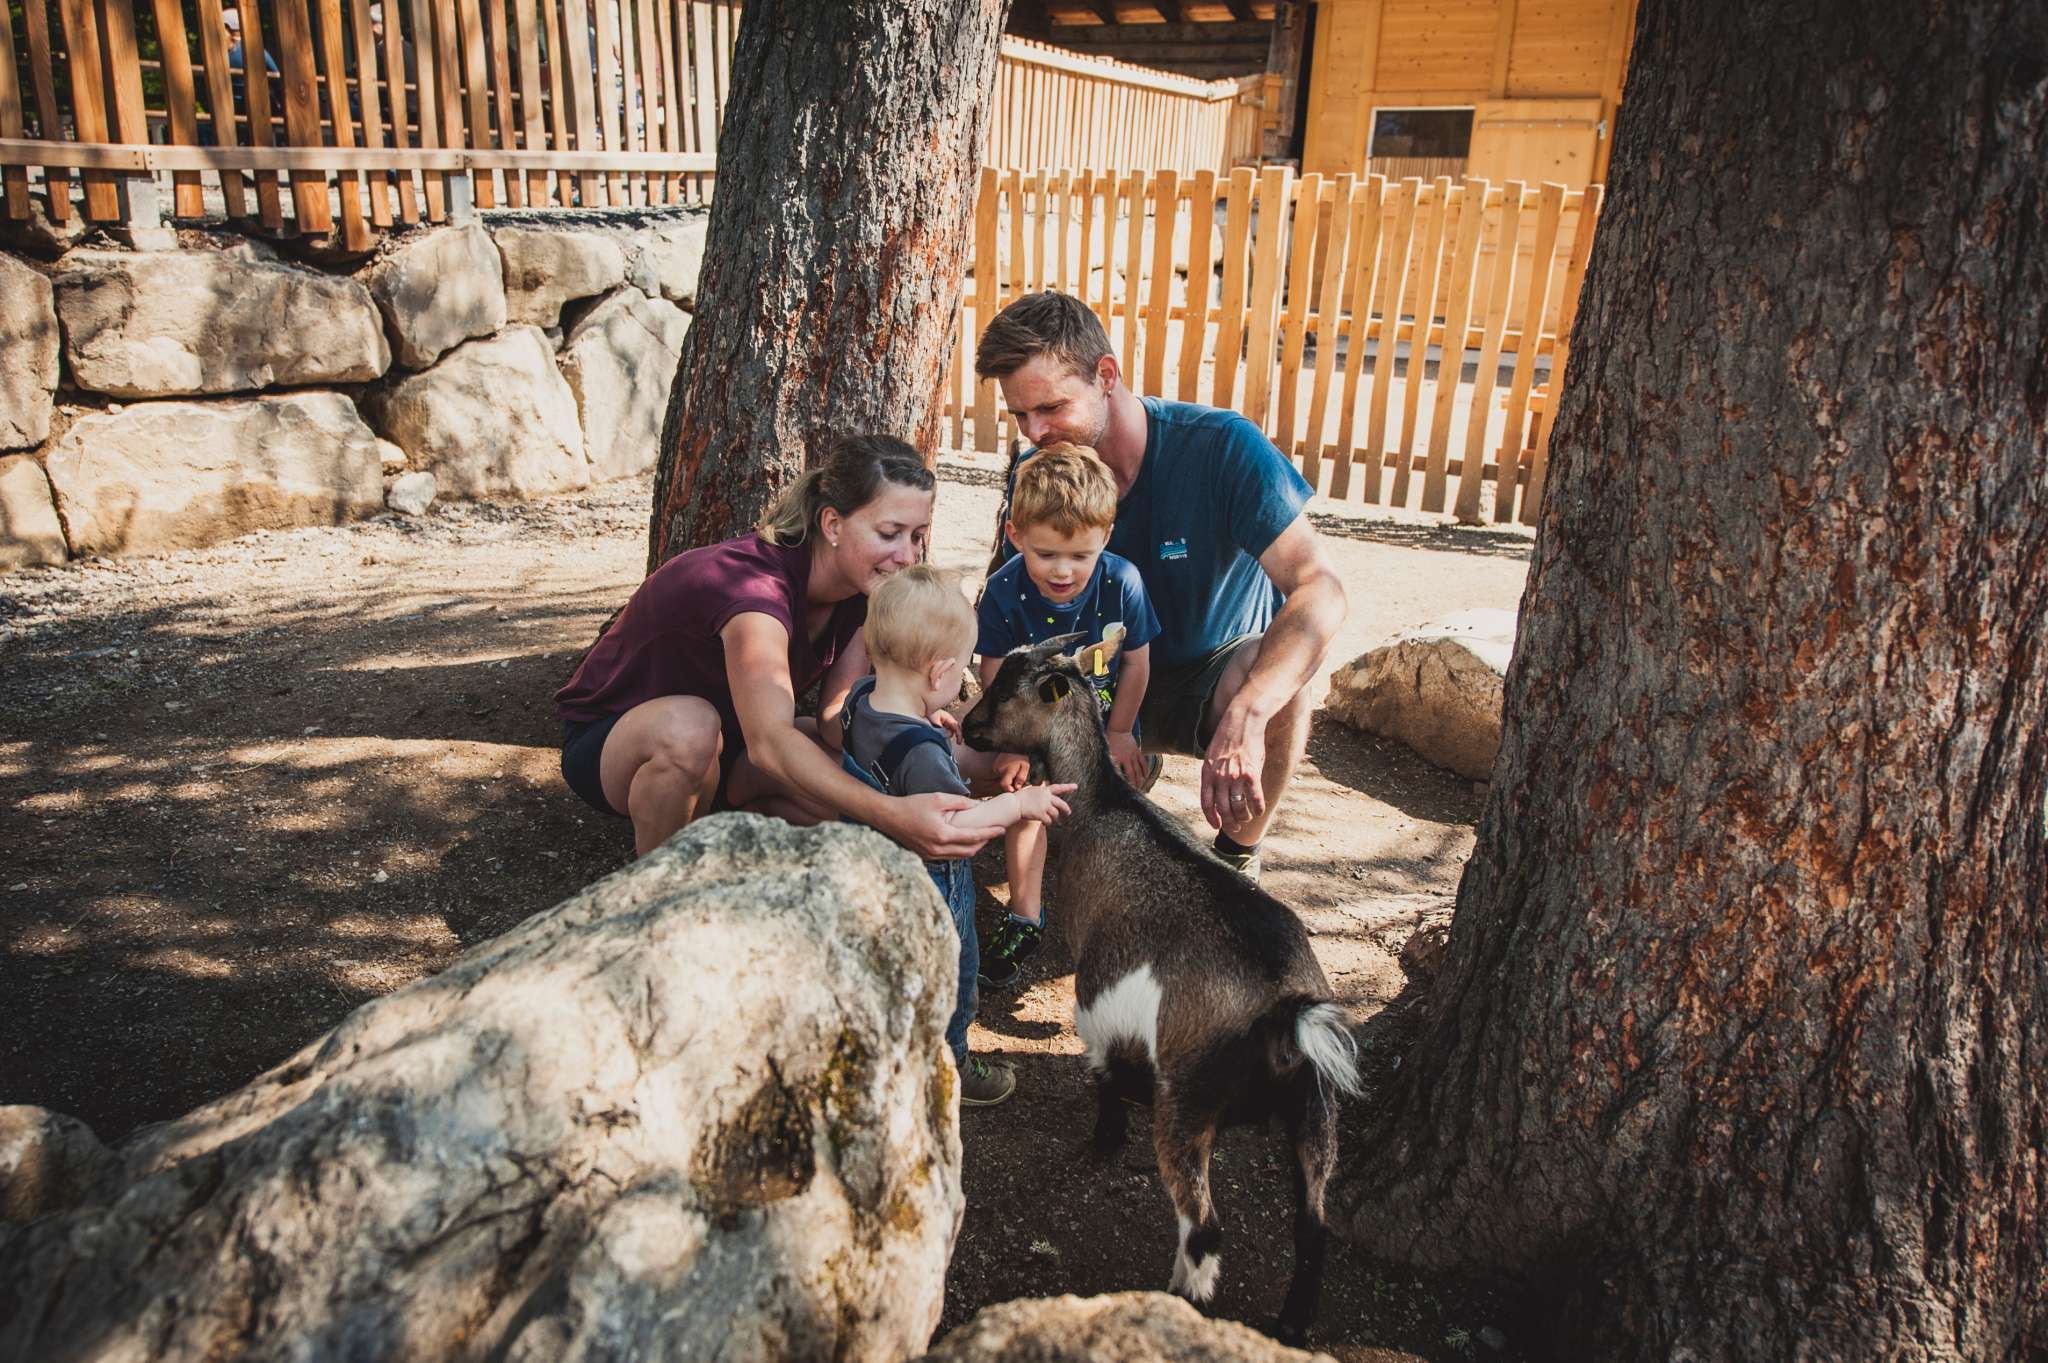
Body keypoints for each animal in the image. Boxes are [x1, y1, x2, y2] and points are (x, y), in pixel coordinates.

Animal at [960, 629, 1361, 1345]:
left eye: (1003, 690)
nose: (968, 728)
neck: (1103, 806)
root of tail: (1287, 1011)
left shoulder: (1097, 978)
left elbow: (1099, 1059)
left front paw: (1105, 1136)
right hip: (1317, 1108)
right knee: (1311, 1227)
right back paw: (1290, 1325)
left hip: (1188, 1100)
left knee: (1204, 1231)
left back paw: (1177, 1302)